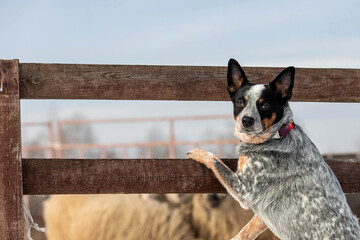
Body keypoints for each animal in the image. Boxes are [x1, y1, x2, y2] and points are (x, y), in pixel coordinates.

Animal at [187, 58, 360, 240]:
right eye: (240, 102)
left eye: (264, 105)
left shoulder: (244, 189)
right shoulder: (263, 212)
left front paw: (198, 152)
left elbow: (215, 160)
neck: (277, 136)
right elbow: (247, 230)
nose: (246, 120)